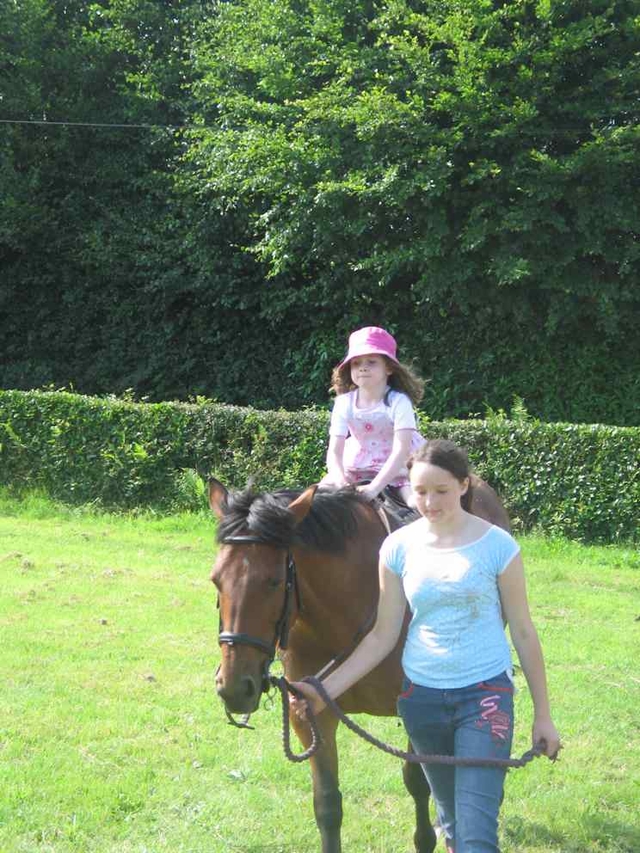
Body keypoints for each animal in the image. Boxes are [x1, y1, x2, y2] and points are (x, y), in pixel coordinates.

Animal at [210, 480, 510, 852]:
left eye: (273, 582)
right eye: (216, 580)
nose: (235, 688)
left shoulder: (417, 705)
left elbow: (417, 780)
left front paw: (426, 838)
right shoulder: (311, 712)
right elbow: (327, 804)